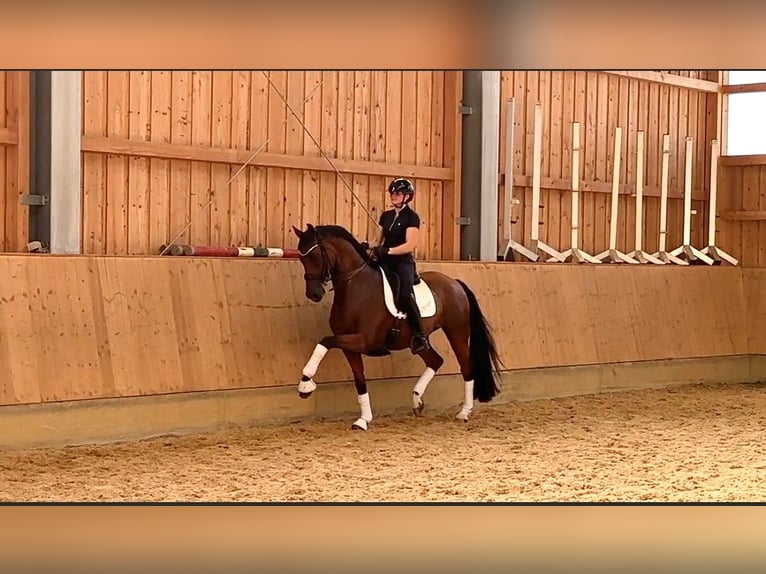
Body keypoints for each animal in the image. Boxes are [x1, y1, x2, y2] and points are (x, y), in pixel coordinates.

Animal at [292, 223, 504, 430]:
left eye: (314, 255)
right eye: (301, 258)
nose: (313, 294)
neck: (356, 287)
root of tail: (455, 283)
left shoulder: (364, 340)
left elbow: (325, 341)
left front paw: (306, 383)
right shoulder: (350, 346)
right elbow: (359, 380)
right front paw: (363, 419)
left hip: (456, 332)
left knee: (466, 367)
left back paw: (464, 412)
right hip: (418, 341)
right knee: (435, 360)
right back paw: (417, 400)